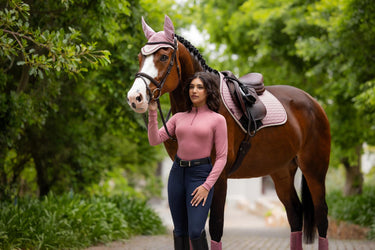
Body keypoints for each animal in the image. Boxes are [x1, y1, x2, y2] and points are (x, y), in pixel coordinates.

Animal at [127, 16, 332, 250]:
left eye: (163, 56)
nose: (135, 97)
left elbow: (215, 227)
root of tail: (314, 103)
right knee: (295, 214)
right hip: (281, 172)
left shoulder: (219, 177)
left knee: (322, 217)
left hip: (314, 170)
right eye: (140, 57)